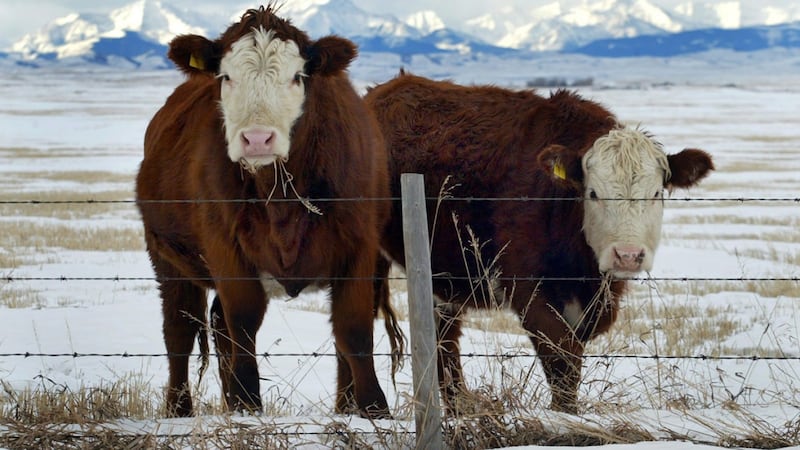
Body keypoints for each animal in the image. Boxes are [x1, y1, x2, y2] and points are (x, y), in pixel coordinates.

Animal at [135, 5, 401, 419]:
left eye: (297, 76)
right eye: (226, 76)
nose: (257, 139)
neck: (281, 200)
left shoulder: (360, 246)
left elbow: (353, 329)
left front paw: (374, 410)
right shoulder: (225, 245)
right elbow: (243, 320)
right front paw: (247, 404)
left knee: (216, 323)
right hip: (166, 256)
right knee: (180, 329)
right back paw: (179, 410)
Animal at [366, 72, 713, 414]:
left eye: (655, 193)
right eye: (593, 193)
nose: (627, 255)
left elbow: (572, 361)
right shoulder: (527, 290)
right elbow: (561, 361)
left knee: (444, 336)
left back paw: (458, 407)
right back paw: (369, 407)